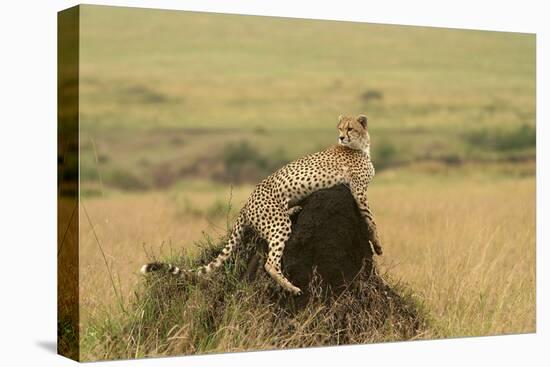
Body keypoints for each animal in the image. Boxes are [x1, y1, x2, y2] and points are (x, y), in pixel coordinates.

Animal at [142, 115, 384, 296]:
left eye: (350, 128)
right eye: (340, 128)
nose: (341, 137)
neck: (362, 146)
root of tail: (246, 204)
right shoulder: (358, 191)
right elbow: (371, 220)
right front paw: (377, 244)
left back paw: (295, 209)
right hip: (279, 224)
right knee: (269, 263)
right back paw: (292, 287)